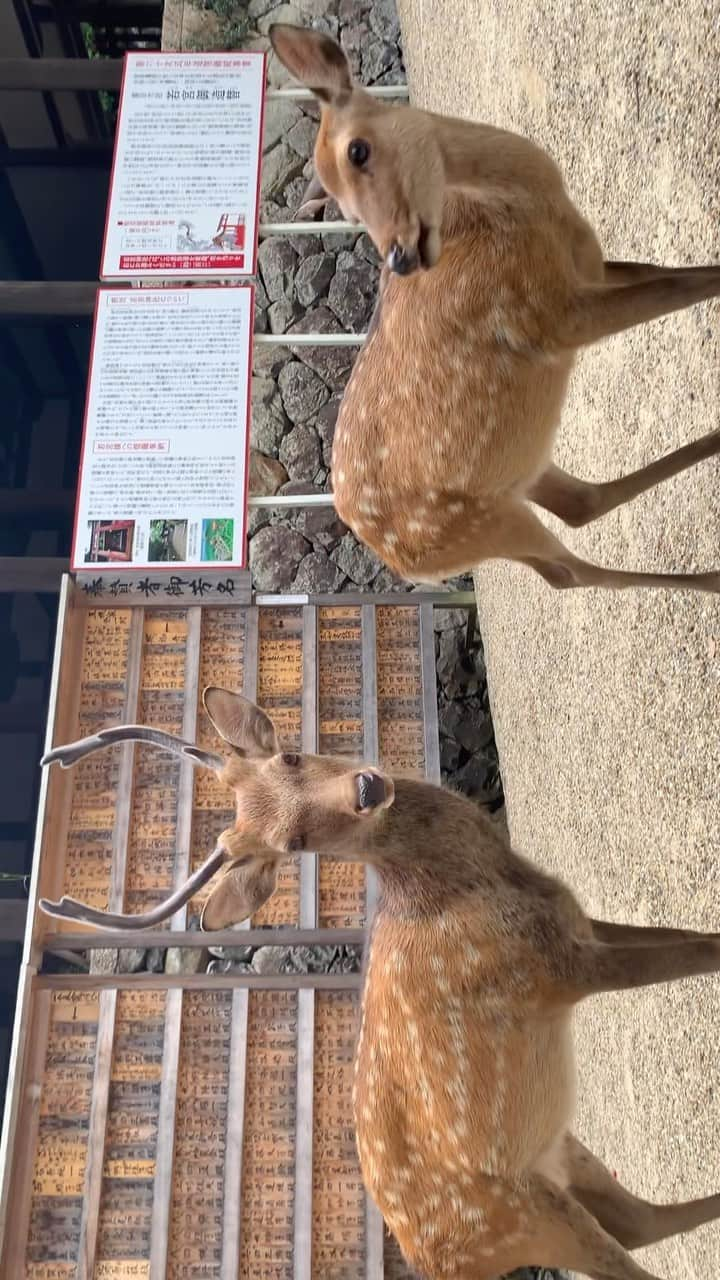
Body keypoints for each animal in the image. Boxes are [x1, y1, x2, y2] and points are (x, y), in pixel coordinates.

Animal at [40, 696, 717, 1280]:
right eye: (293, 845)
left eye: (292, 756)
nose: (367, 788)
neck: (466, 887)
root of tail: (440, 1266)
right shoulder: (552, 972)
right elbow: (701, 950)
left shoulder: (580, 924)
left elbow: (687, 936)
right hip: (531, 1217)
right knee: (636, 1250)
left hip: (559, 1153)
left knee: (644, 1221)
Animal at [263, 24, 717, 593]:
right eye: (344, 211)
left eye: (358, 151)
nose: (399, 256)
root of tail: (396, 560)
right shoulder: (549, 318)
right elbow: (685, 287)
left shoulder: (588, 268)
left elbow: (673, 272)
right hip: (480, 520)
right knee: (568, 568)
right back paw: (713, 578)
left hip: (515, 473)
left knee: (580, 505)